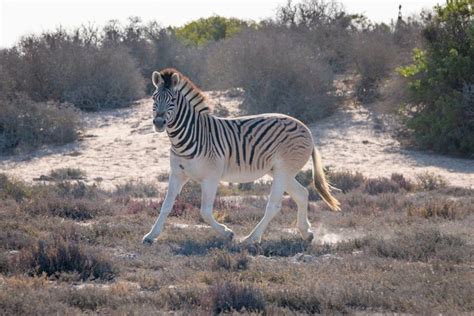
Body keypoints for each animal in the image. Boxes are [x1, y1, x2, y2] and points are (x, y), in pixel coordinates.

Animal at [142, 68, 340, 244]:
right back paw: (306, 233)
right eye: (154, 98)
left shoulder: (211, 177)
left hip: (284, 170)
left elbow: (205, 211)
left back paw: (251, 239)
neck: (186, 139)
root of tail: (306, 129)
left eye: (172, 100)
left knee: (274, 205)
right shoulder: (178, 173)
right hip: (279, 171)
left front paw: (227, 233)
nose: (158, 122)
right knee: (302, 194)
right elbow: (166, 206)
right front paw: (151, 236)